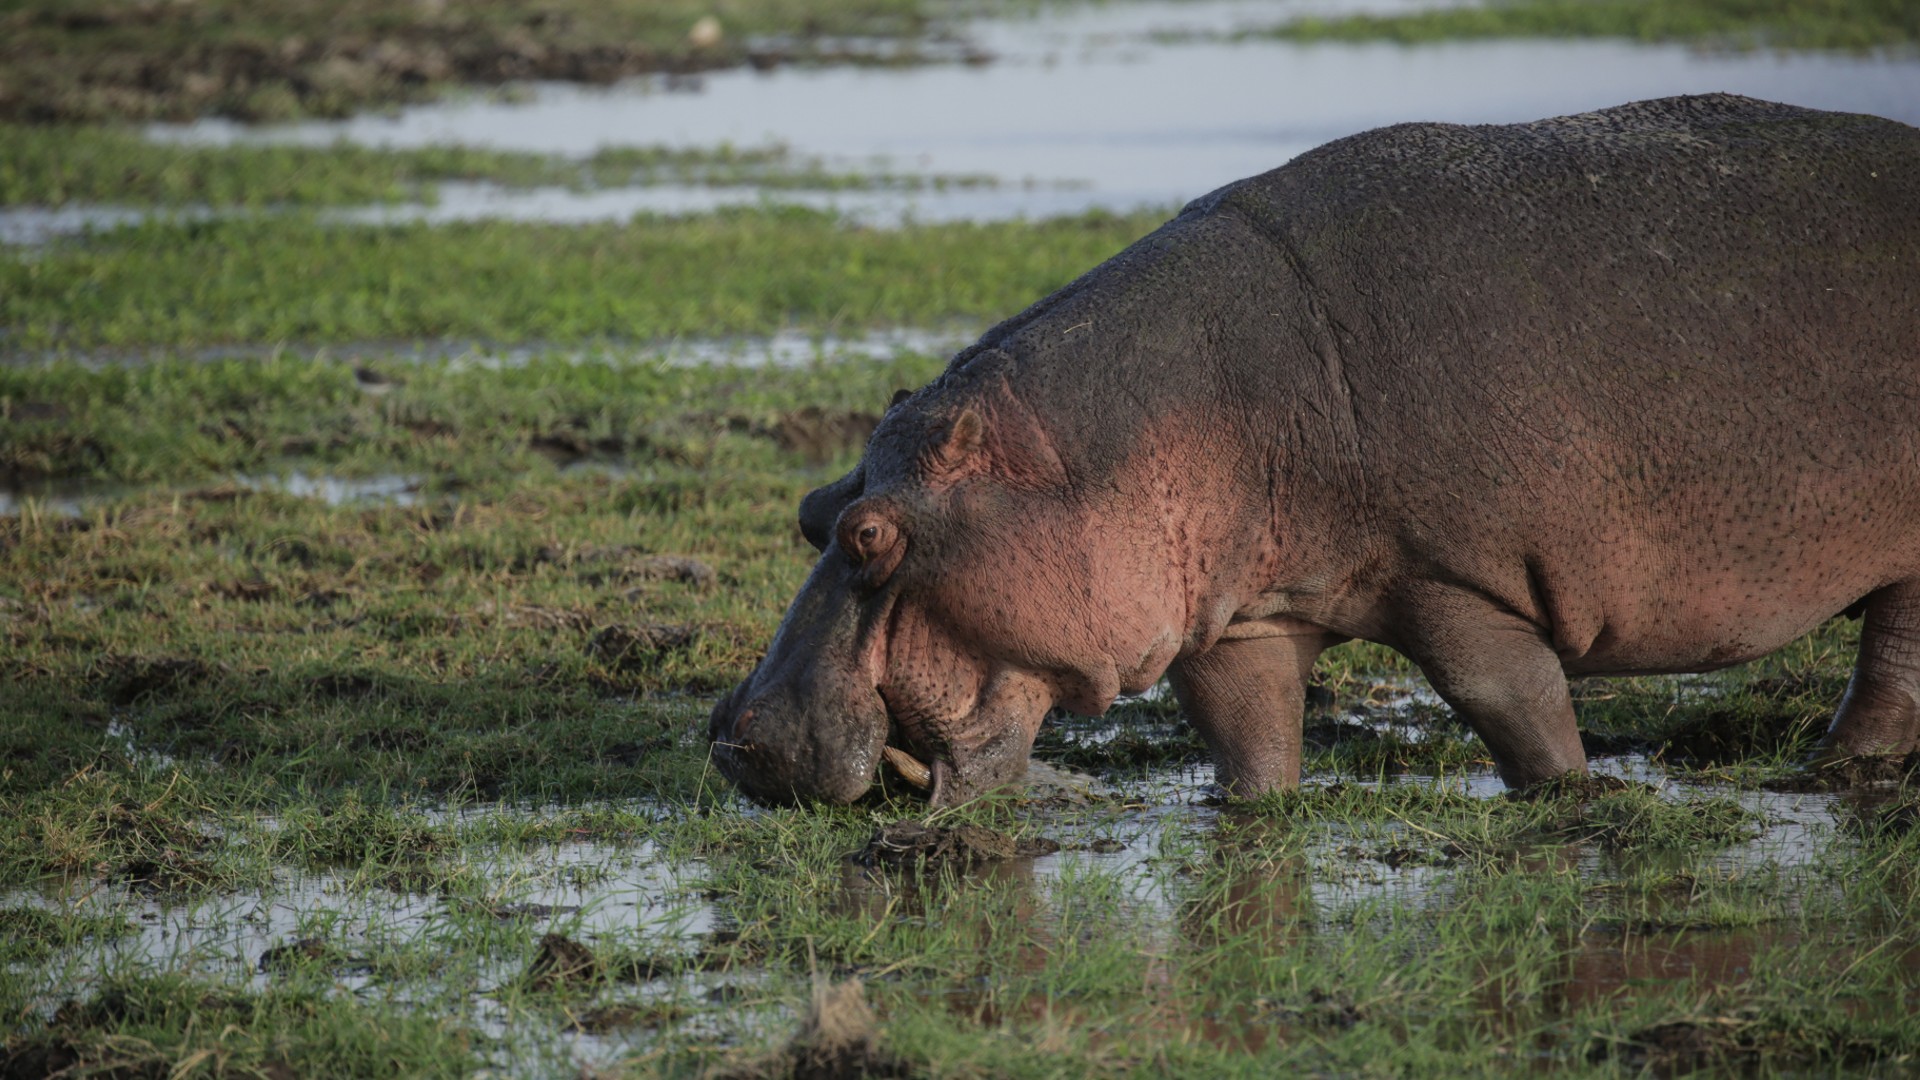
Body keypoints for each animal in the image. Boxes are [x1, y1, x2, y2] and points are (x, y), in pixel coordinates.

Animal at [710, 92, 1920, 803]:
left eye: (872, 534)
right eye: (811, 510)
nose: (737, 739)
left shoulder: (1456, 581)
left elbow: (1513, 707)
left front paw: (1575, 799)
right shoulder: (1240, 619)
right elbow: (1244, 739)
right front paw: (1254, 812)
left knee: (1892, 653)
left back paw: (1834, 768)